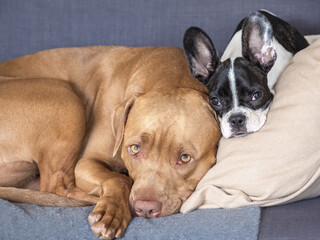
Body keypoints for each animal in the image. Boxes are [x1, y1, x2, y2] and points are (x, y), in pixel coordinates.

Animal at [0, 46, 220, 239]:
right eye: (134, 149)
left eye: (185, 158)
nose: (145, 208)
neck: (173, 76)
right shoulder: (85, 163)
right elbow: (119, 179)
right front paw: (112, 211)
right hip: (65, 95)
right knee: (56, 188)